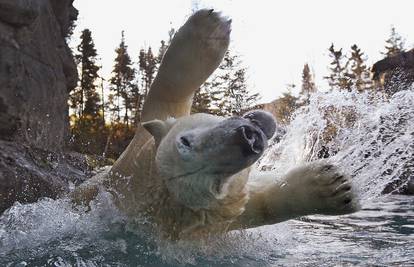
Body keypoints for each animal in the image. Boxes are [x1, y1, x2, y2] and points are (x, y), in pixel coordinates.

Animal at [73, 9, 358, 241]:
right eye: (214, 183)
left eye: (185, 141)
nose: (247, 137)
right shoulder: (219, 217)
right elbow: (261, 206)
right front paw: (337, 186)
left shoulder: (137, 153)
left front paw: (208, 28)